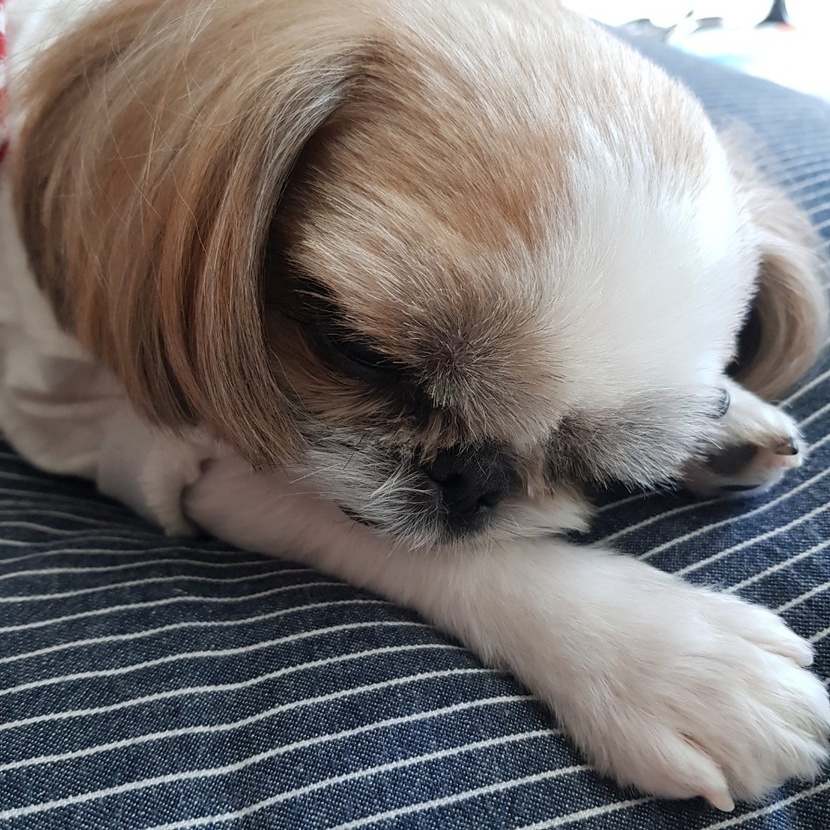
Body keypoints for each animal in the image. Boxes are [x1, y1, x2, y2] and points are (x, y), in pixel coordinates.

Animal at [2, 0, 829, 811]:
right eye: (358, 351)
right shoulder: (144, 440)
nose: (474, 482)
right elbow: (406, 545)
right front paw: (668, 656)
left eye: (594, 464)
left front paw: (725, 414)